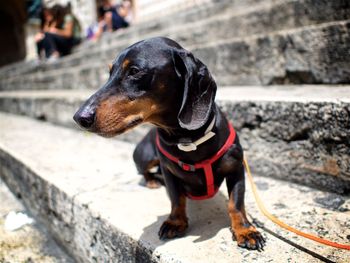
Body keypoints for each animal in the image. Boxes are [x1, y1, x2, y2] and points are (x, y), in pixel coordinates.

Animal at [74, 36, 266, 250]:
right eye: (110, 73)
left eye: (134, 71)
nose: (79, 117)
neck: (188, 141)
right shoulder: (168, 172)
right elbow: (176, 198)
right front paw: (175, 221)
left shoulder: (236, 169)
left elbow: (236, 204)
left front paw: (245, 230)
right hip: (145, 156)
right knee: (144, 172)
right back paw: (152, 181)